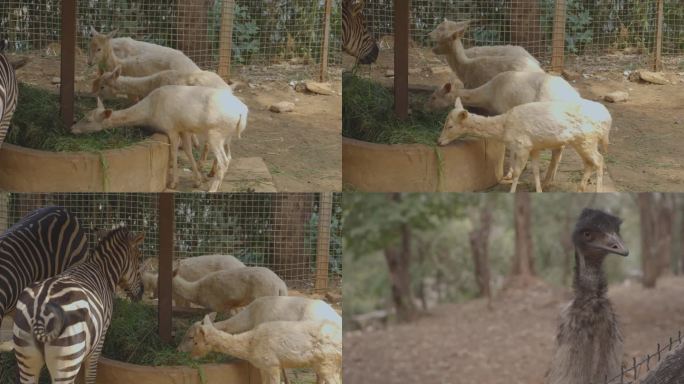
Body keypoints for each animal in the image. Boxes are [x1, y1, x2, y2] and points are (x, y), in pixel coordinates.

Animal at [12, 226, 144, 382]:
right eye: (139, 259)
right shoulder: (100, 337)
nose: (142, 293)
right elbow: (90, 375)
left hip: (27, 361)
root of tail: (40, 305)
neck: (103, 271)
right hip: (66, 362)